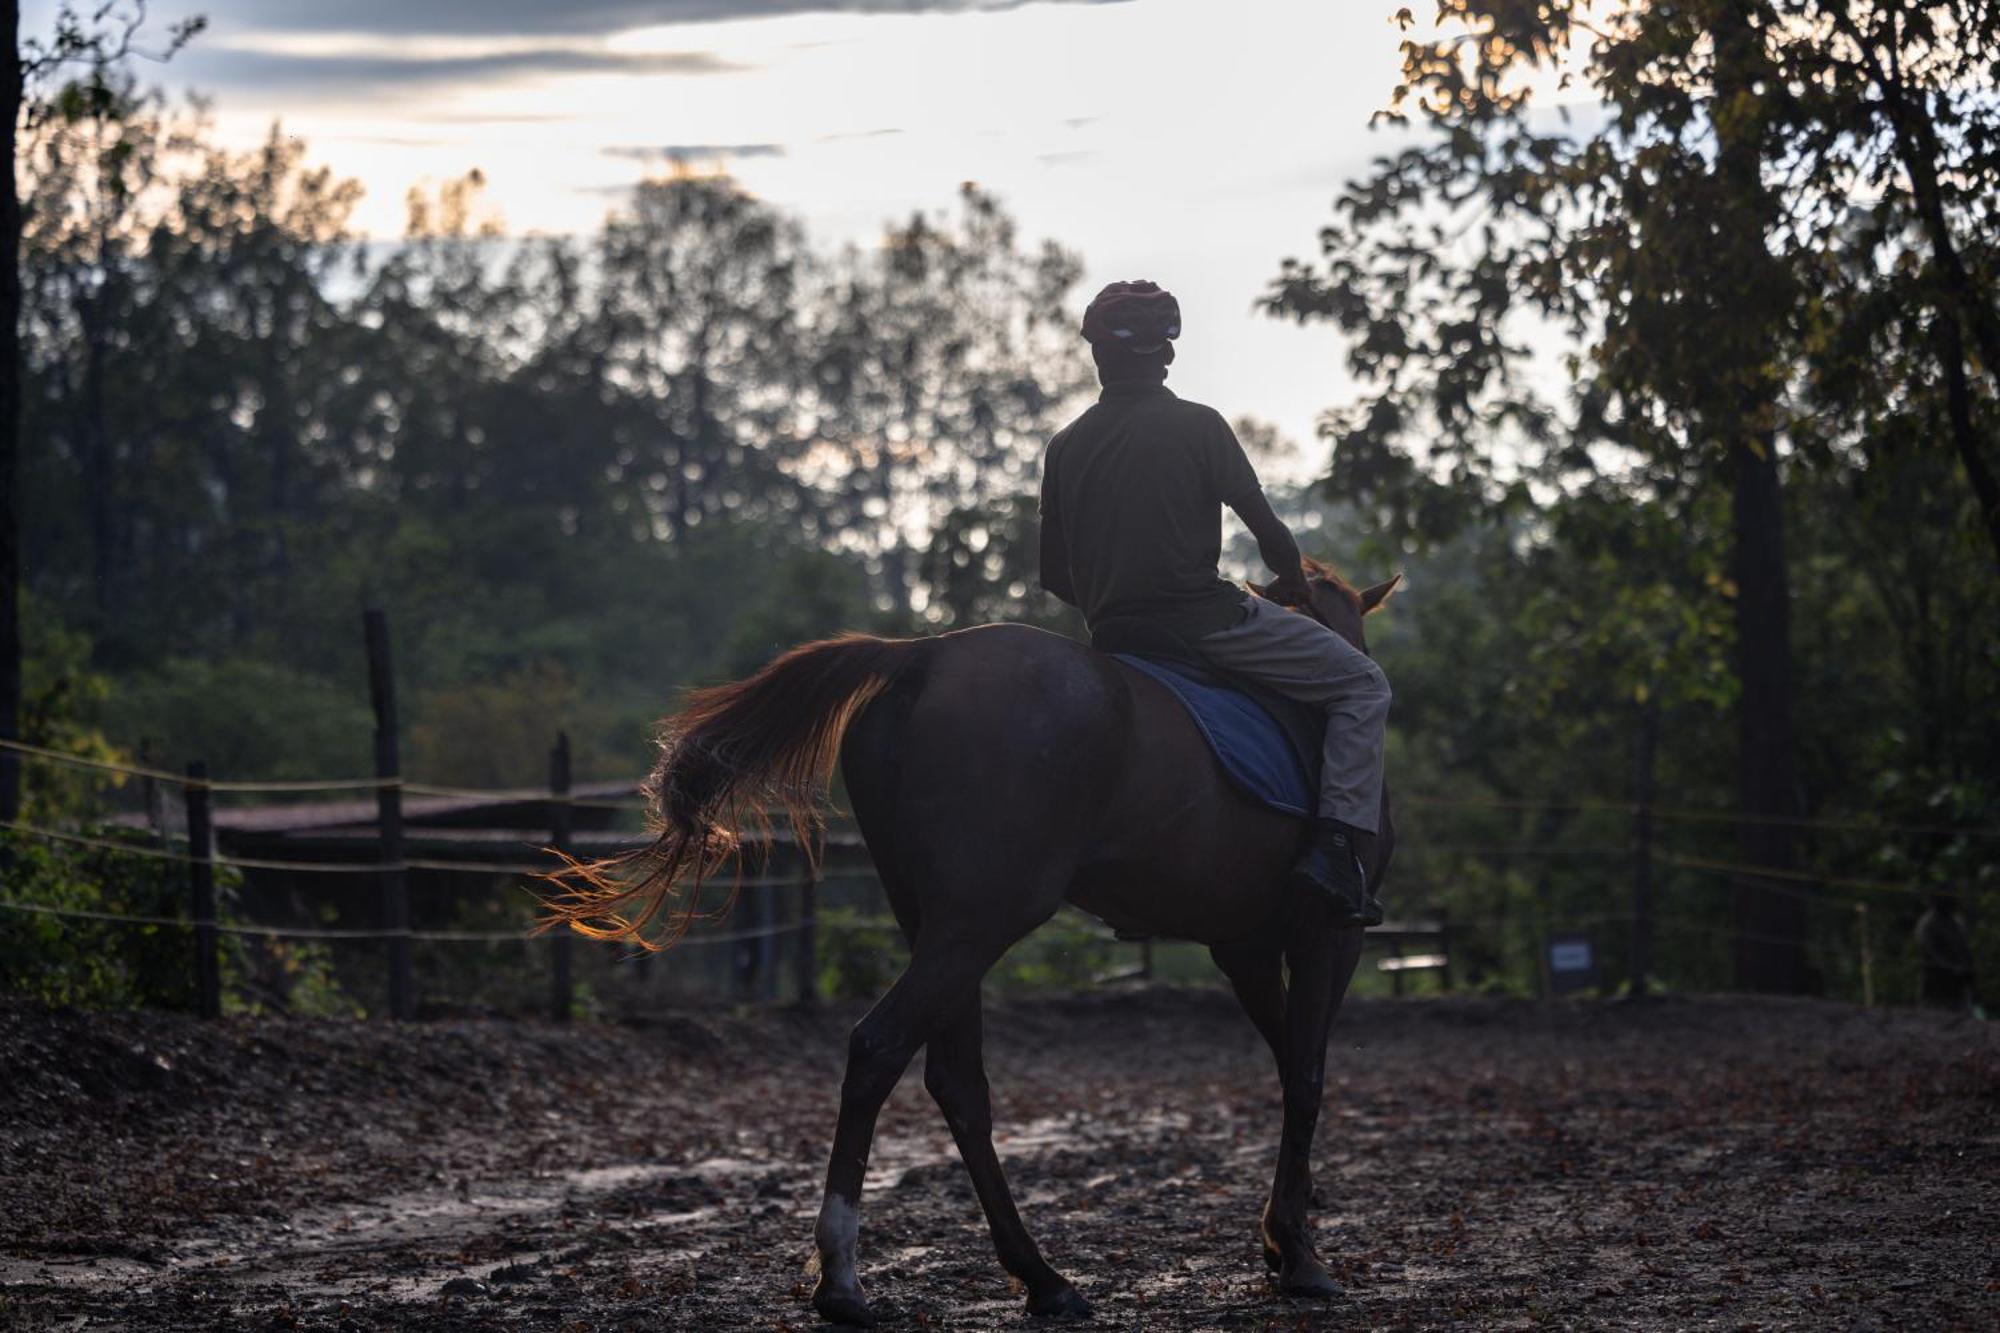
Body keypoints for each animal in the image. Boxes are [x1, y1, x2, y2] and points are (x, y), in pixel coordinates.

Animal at [540, 564, 1400, 1320]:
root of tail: (922, 654)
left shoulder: (1243, 947)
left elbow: (1290, 1061)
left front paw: (1285, 1231)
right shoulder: (1329, 936)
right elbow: (1308, 1075)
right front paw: (1298, 1250)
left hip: (945, 922)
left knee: (956, 1082)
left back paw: (1041, 1276)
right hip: (982, 918)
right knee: (880, 1047)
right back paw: (845, 1278)